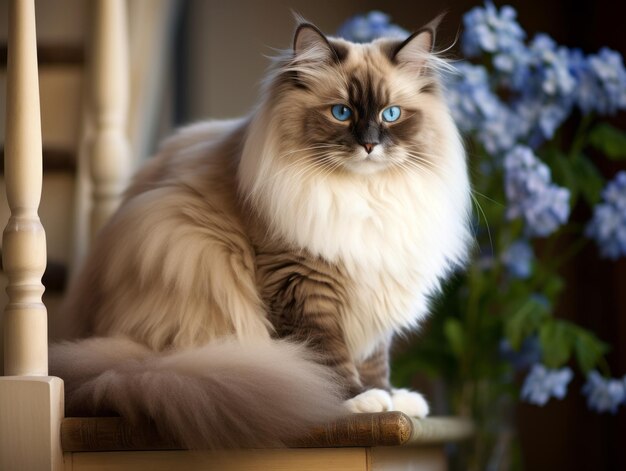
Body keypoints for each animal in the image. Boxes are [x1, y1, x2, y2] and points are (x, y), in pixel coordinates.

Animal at [47, 17, 468, 450]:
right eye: (341, 112)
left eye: (391, 114)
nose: (369, 145)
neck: (365, 196)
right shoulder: (301, 283)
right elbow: (327, 355)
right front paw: (359, 401)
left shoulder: (374, 281)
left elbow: (374, 362)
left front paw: (392, 398)